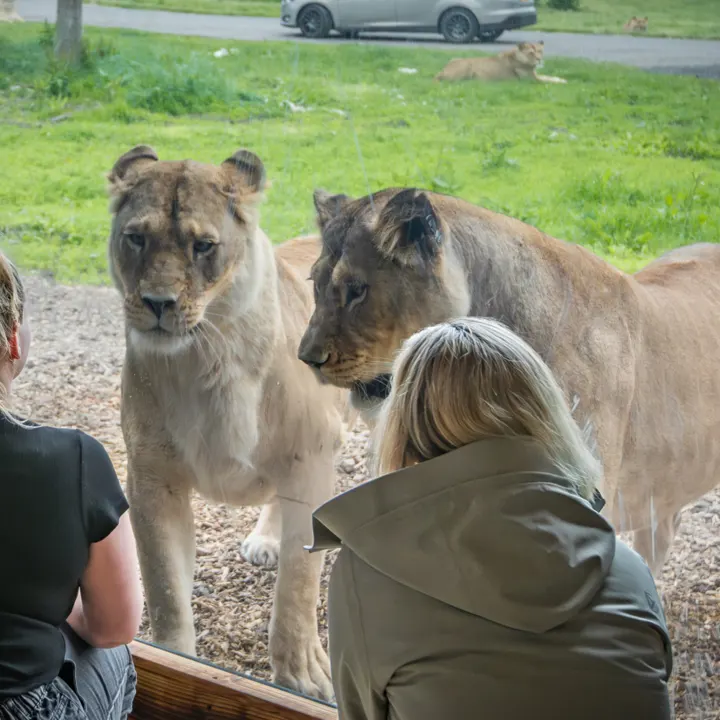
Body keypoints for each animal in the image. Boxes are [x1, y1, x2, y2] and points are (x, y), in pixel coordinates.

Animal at [107, 145, 347, 700]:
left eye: (203, 246)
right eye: (136, 238)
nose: (158, 304)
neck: (206, 355)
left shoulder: (311, 457)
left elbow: (299, 582)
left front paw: (301, 677)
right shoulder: (152, 478)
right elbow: (166, 589)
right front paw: (176, 659)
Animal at [435, 41, 567, 85]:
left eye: (540, 51)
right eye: (531, 53)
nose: (539, 59)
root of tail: (442, 71)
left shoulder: (535, 76)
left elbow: (549, 77)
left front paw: (561, 79)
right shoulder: (531, 80)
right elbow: (547, 80)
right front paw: (562, 82)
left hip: (454, 58)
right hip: (466, 66)